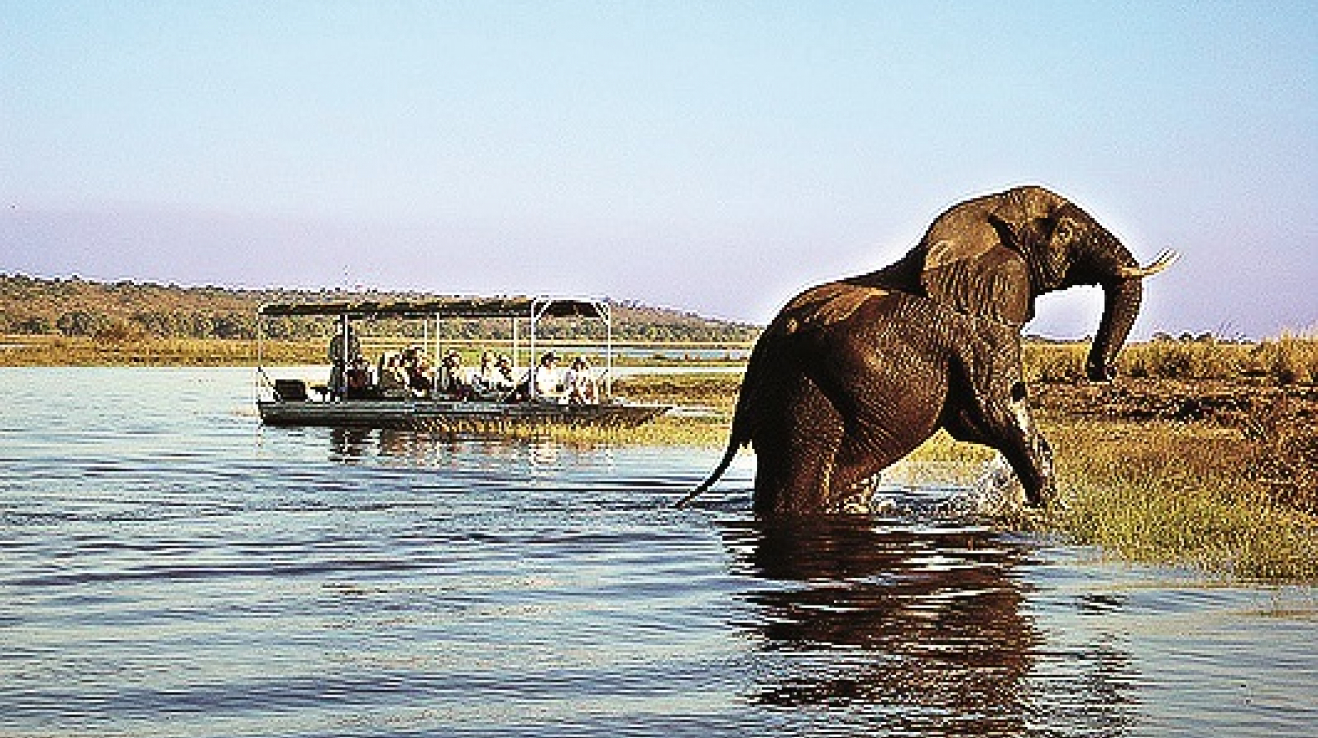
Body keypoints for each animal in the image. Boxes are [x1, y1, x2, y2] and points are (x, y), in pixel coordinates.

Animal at [680, 187, 1175, 516]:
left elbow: (981, 418)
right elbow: (994, 413)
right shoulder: (975, 329)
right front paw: (1050, 513)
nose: (1102, 370)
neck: (985, 212)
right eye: (1066, 230)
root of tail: (758, 354)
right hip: (802, 397)